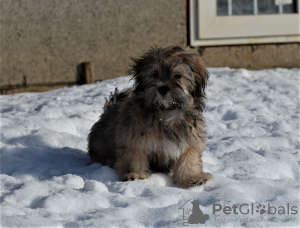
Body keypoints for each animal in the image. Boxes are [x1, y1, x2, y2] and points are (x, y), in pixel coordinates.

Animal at [88, 45, 212, 187]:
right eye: (155, 74)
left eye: (178, 76)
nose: (162, 88)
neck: (166, 112)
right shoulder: (133, 138)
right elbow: (135, 156)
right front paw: (135, 174)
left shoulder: (190, 139)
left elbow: (189, 158)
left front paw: (191, 178)